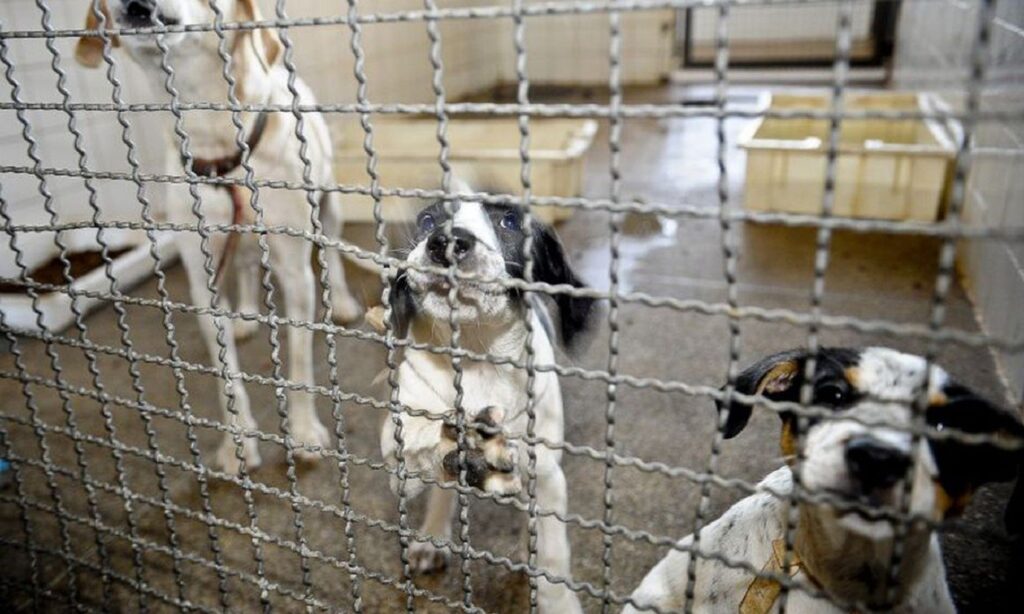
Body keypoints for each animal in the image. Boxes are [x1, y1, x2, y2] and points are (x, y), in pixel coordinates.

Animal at [73, 0, 360, 472]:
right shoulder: (202, 280)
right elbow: (228, 378)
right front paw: (238, 443)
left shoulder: (295, 273)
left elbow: (300, 364)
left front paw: (304, 433)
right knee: (245, 267)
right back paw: (244, 314)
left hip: (329, 203)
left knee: (331, 253)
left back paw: (344, 302)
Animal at [380, 193, 598, 614]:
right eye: (427, 220)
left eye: (509, 223)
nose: (444, 242)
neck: (477, 355)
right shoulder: (401, 439)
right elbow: (419, 447)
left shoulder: (548, 475)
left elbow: (553, 551)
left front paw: (558, 600)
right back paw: (433, 534)